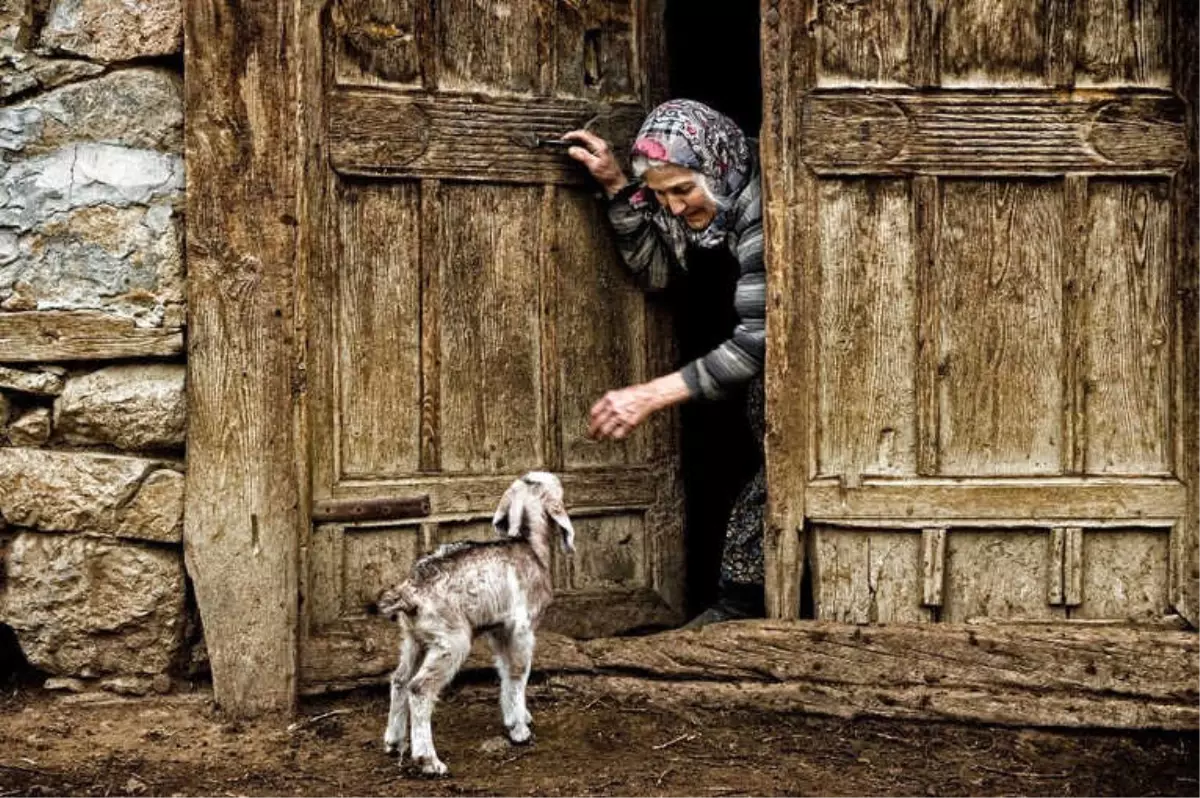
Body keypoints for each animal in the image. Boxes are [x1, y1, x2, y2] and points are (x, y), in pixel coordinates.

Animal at [379, 470, 576, 772]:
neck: (528, 545)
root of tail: (410, 592)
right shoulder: (522, 627)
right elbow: (519, 672)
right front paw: (519, 730)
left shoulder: (499, 629)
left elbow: (505, 670)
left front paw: (517, 717)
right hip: (452, 640)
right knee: (419, 688)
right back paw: (428, 760)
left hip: (415, 639)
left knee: (400, 679)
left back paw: (394, 741)